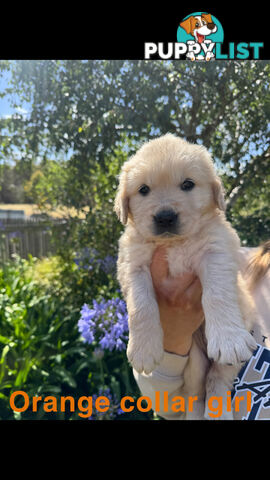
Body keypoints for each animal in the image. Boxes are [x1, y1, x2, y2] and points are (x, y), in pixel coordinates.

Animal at [114, 133, 258, 418]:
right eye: (143, 190)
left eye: (188, 184)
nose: (165, 217)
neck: (174, 243)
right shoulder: (132, 263)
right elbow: (140, 306)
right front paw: (144, 349)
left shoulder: (216, 252)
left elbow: (217, 295)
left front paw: (228, 337)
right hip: (194, 361)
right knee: (194, 393)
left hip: (233, 347)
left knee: (217, 381)